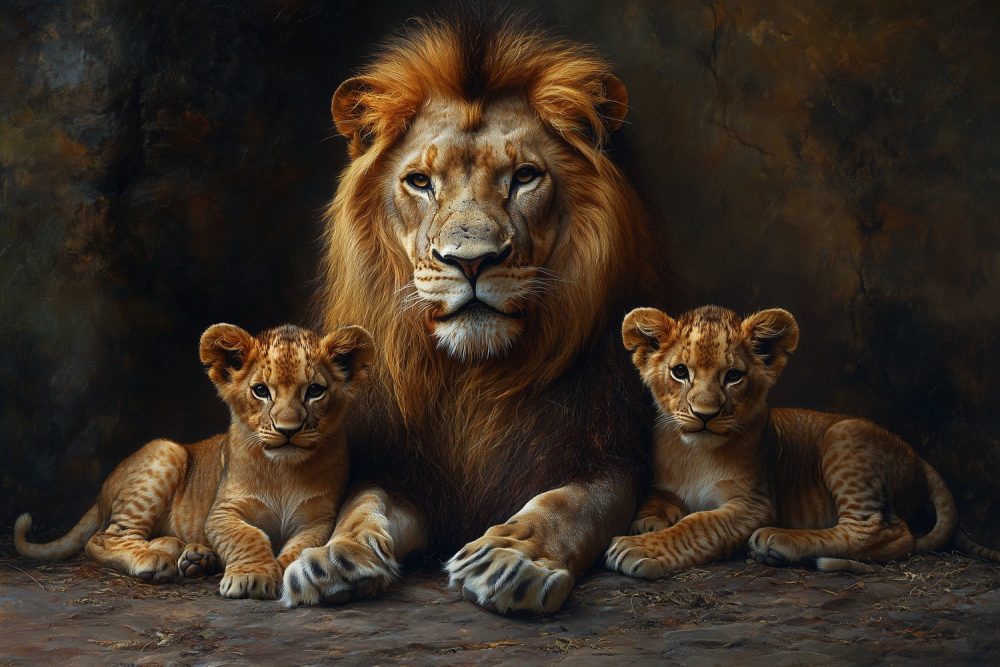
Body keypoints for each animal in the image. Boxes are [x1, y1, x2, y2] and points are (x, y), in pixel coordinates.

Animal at [14, 323, 374, 599]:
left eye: (314, 390)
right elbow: (248, 536)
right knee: (104, 538)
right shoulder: (222, 512)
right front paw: (253, 576)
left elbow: (300, 549)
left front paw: (285, 573)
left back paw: (191, 554)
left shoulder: (318, 519)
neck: (284, 469)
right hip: (167, 451)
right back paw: (156, 559)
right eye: (260, 390)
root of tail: (102, 490)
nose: (288, 430)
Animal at [279, 12, 667, 613]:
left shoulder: (610, 455)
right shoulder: (399, 466)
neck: (472, 379)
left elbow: (565, 505)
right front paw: (332, 557)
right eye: (419, 181)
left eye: (525, 176)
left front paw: (509, 557)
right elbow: (363, 506)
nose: (471, 261)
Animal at [604, 305, 1000, 578]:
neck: (696, 454)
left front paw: (640, 548)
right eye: (679, 372)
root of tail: (917, 455)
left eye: (733, 376)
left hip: (844, 436)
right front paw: (649, 522)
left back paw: (778, 542)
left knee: (887, 533)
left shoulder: (755, 504)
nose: (705, 414)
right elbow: (656, 499)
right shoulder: (663, 484)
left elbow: (698, 524)